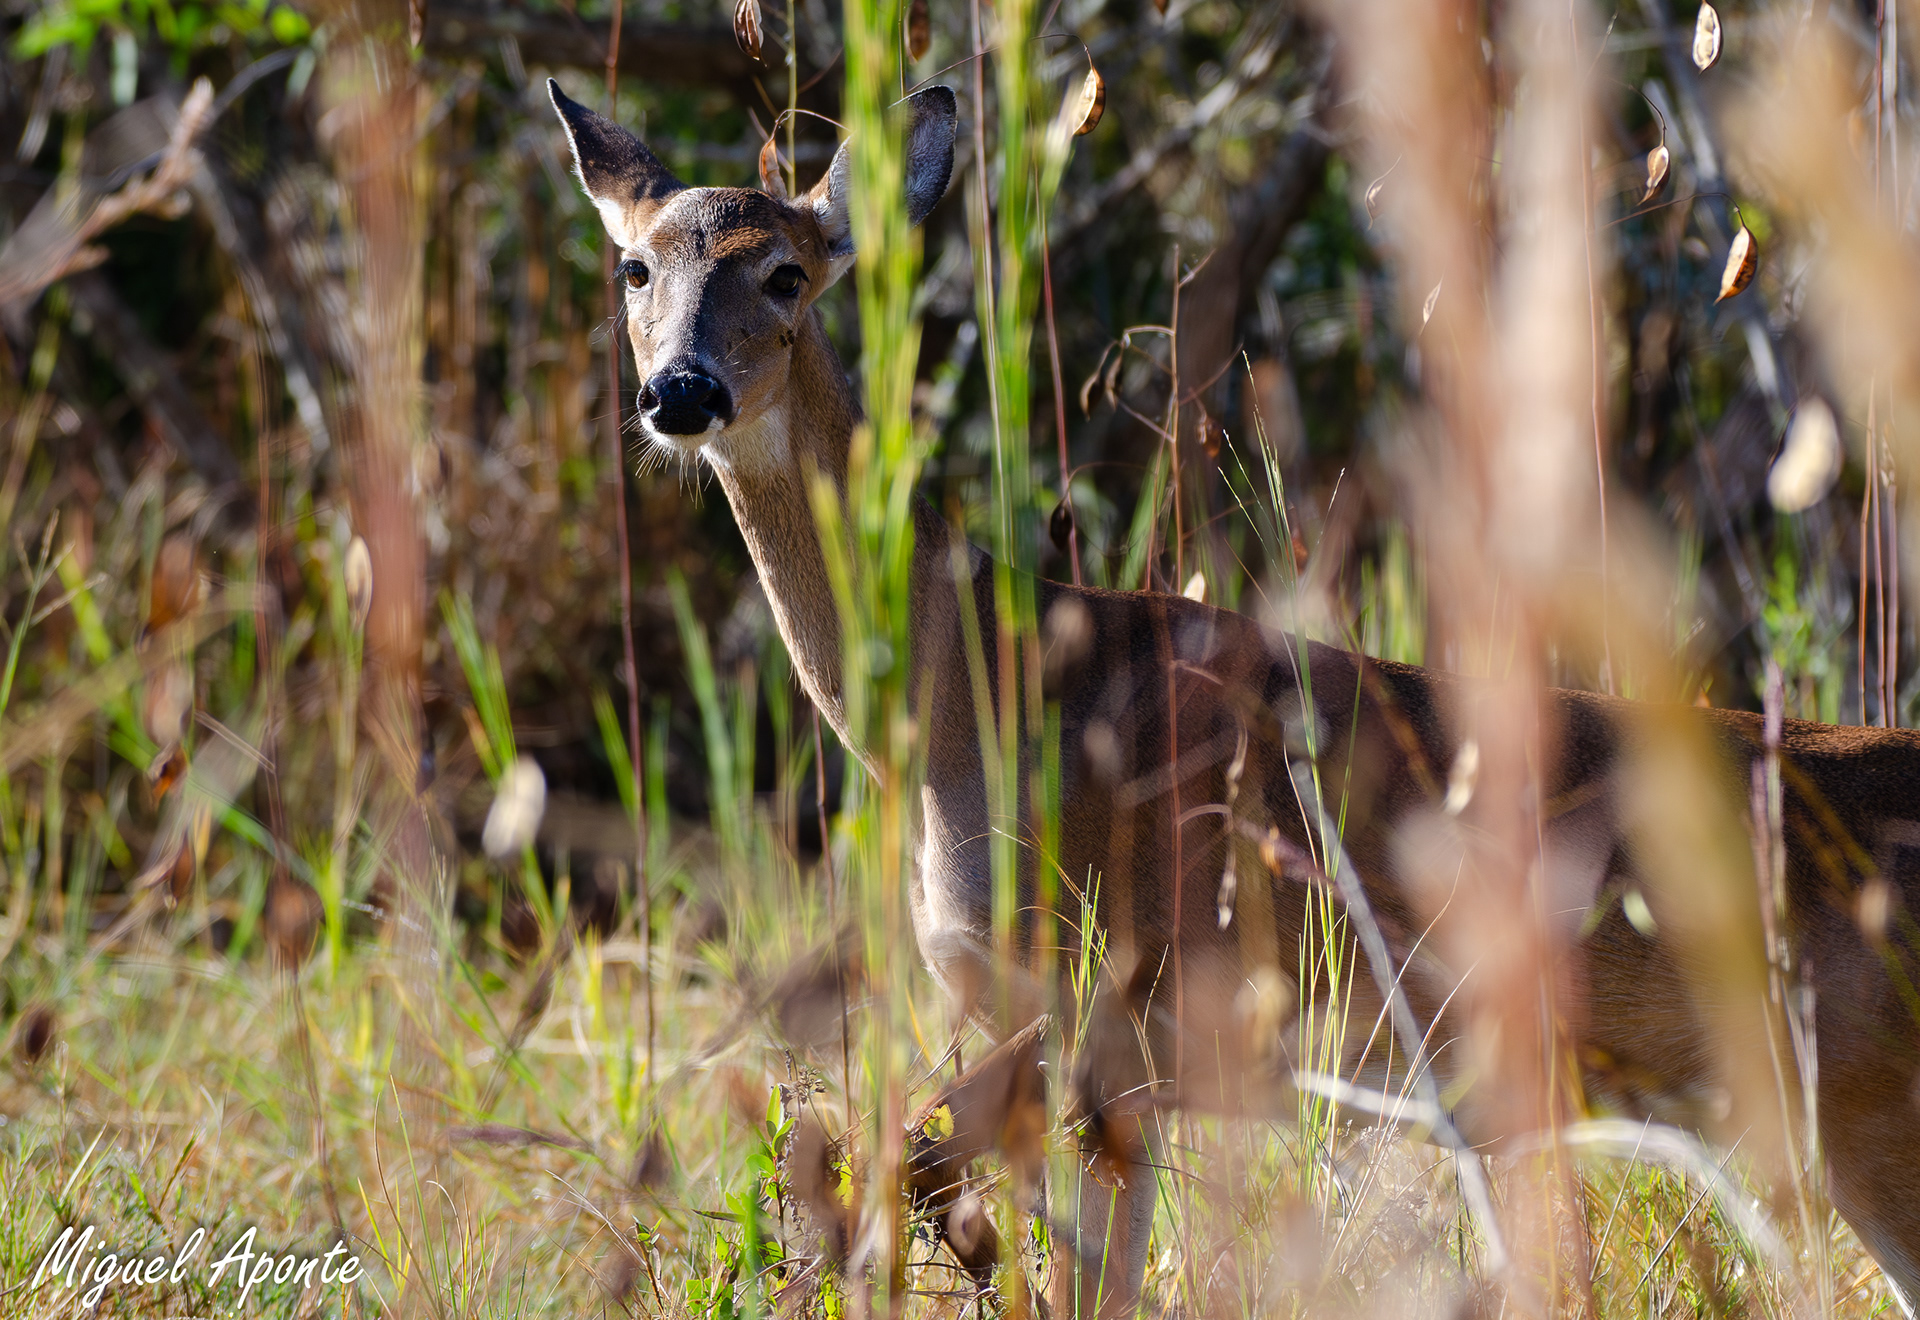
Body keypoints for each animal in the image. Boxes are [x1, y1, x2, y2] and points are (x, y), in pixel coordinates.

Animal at [547, 79, 1920, 1317]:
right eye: (635, 268)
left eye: (785, 273)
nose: (681, 392)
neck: (975, 696)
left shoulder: (1106, 1010)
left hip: (1870, 1115)